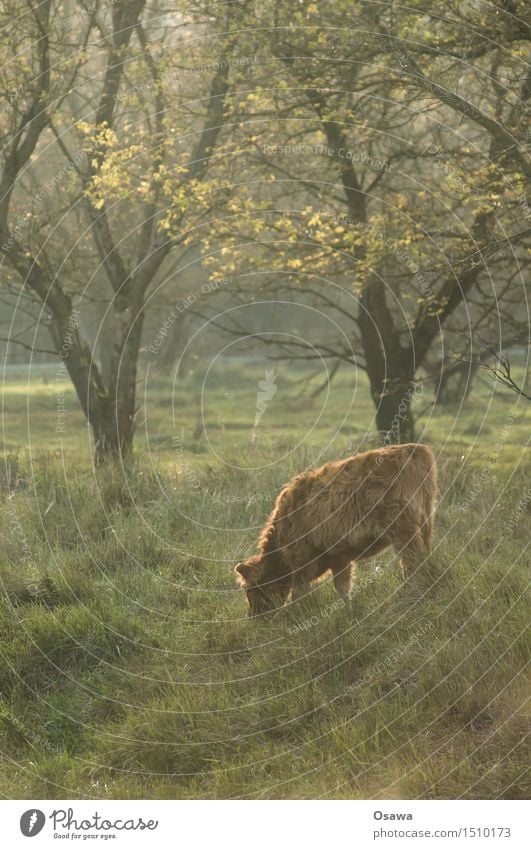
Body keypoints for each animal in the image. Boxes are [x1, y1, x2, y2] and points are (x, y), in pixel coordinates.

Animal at [235, 444, 438, 616]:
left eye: (250, 589)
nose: (253, 616)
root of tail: (413, 449)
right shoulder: (340, 557)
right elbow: (342, 587)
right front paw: (349, 609)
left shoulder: (301, 562)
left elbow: (300, 593)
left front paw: (298, 614)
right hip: (425, 521)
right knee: (424, 555)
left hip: (402, 528)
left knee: (412, 561)